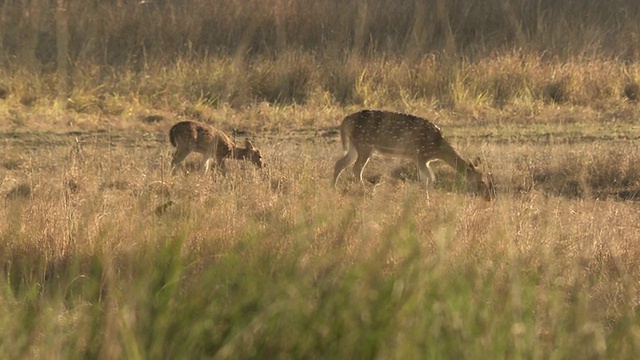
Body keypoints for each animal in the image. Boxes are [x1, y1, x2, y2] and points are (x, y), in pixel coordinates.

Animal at [336, 109, 496, 200]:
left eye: (489, 179)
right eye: (481, 181)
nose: (488, 197)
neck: (437, 148)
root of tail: (346, 120)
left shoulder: (420, 159)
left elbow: (425, 178)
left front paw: (424, 198)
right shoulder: (422, 155)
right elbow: (431, 178)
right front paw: (427, 199)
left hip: (355, 145)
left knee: (340, 163)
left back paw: (334, 187)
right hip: (365, 145)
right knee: (356, 168)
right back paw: (366, 192)